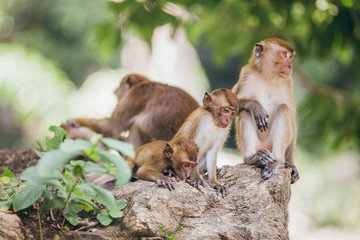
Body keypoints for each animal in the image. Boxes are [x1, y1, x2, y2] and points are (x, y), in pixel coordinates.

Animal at [232, 38, 300, 184]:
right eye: (284, 55)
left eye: (290, 57)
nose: (290, 66)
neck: (267, 77)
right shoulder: (245, 74)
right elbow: (229, 102)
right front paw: (256, 106)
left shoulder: (288, 83)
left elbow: (291, 116)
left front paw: (291, 164)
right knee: (245, 112)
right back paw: (253, 158)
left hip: (271, 146)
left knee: (284, 108)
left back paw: (276, 162)